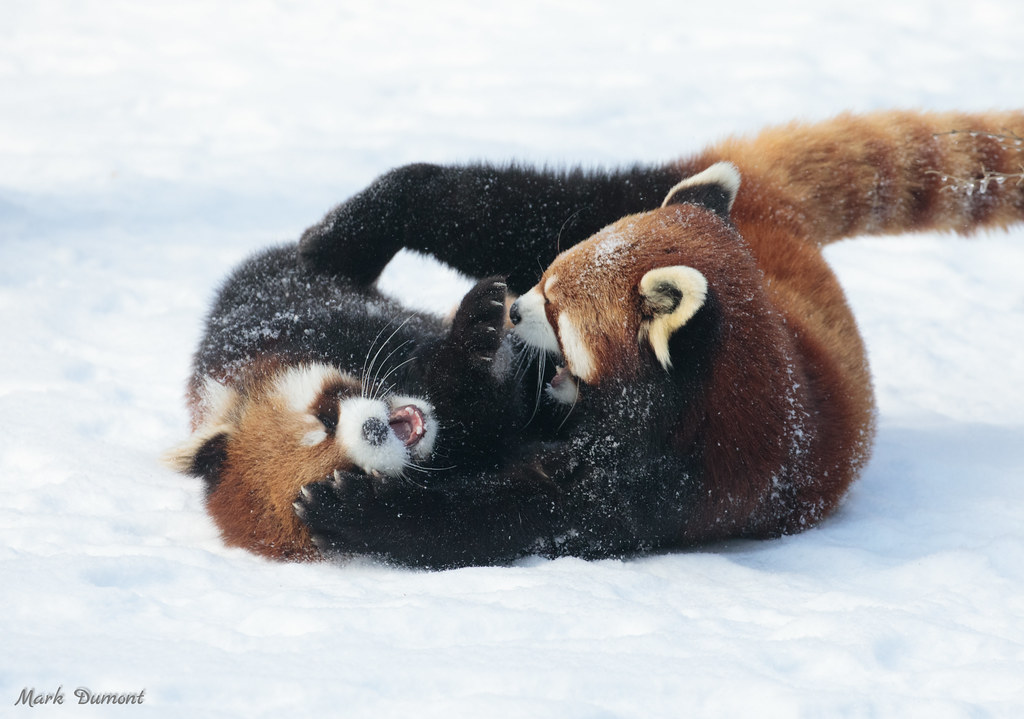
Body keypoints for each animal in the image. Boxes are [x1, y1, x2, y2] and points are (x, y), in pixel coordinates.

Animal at [293, 109, 1024, 568]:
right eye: (546, 277)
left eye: (555, 307)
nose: (515, 311)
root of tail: (773, 213)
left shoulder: (675, 477)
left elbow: (520, 515)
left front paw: (359, 508)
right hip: (630, 195)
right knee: (515, 201)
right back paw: (359, 219)